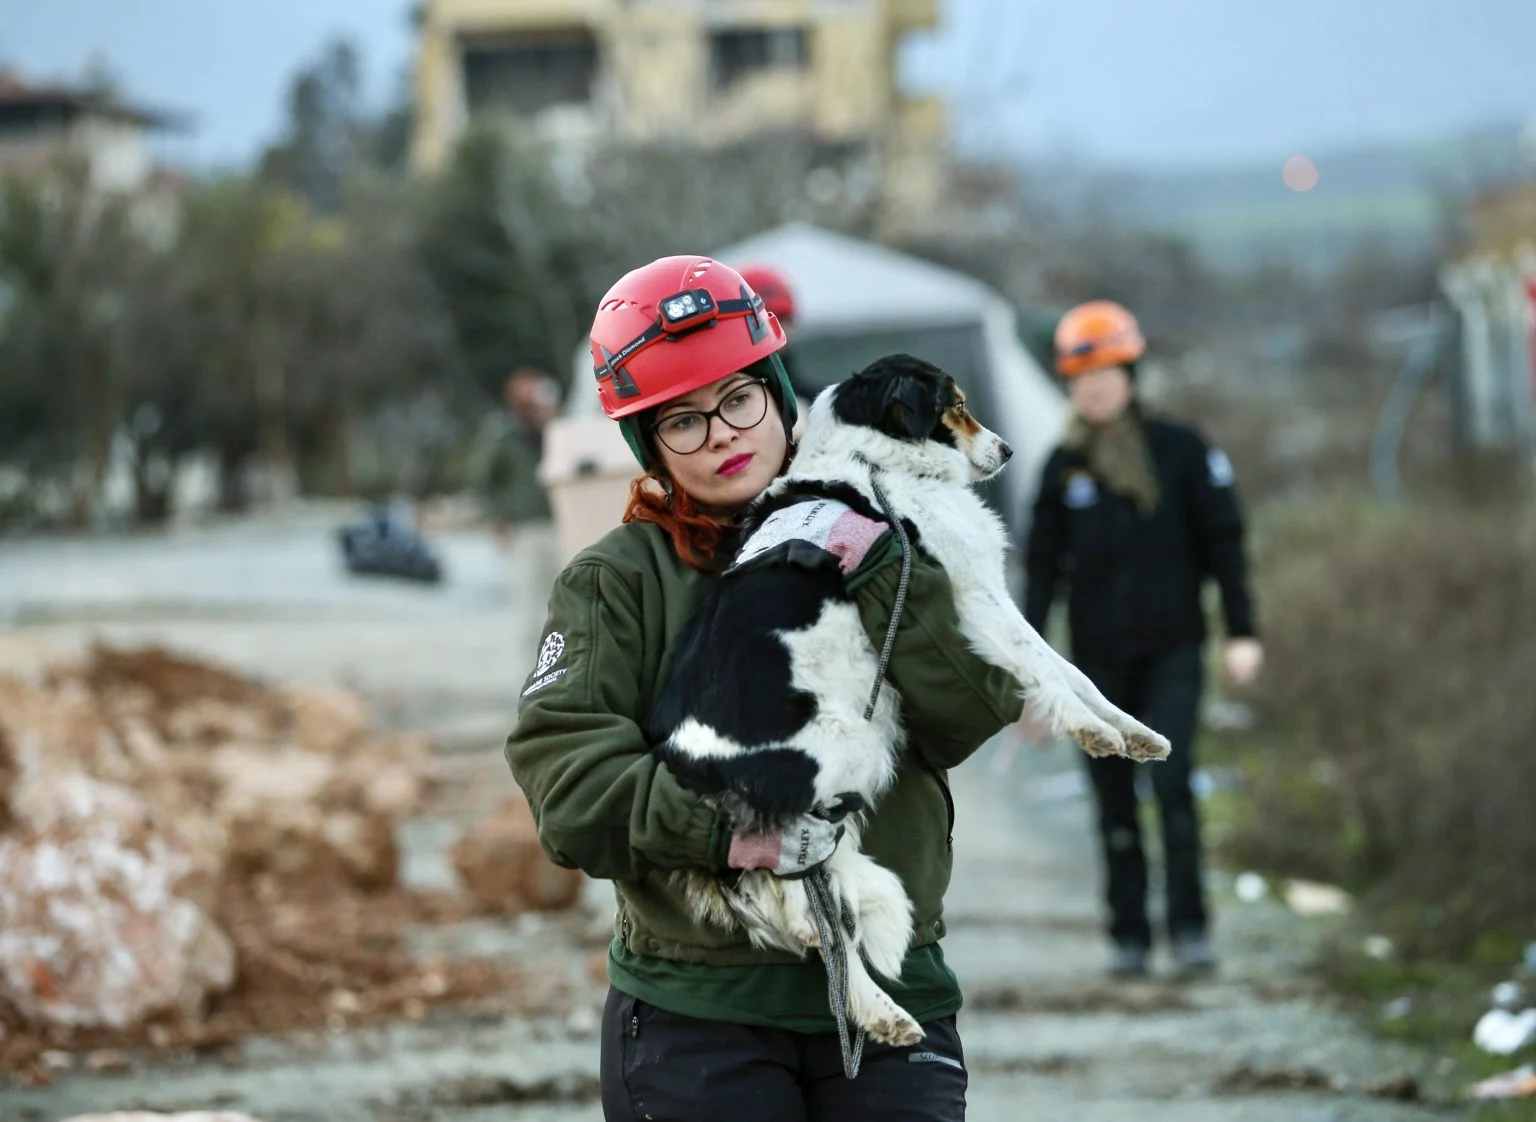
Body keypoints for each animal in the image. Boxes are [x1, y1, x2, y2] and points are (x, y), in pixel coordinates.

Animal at [645, 353, 1161, 1045]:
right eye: (956, 404)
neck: (876, 464)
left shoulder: (986, 597)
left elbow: (1073, 671)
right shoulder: (973, 598)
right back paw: (879, 1003)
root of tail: (686, 760)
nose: (1008, 450)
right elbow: (1044, 670)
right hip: (844, 758)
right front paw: (1092, 731)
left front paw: (1133, 732)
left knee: (816, 920)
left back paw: (880, 1013)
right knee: (804, 899)